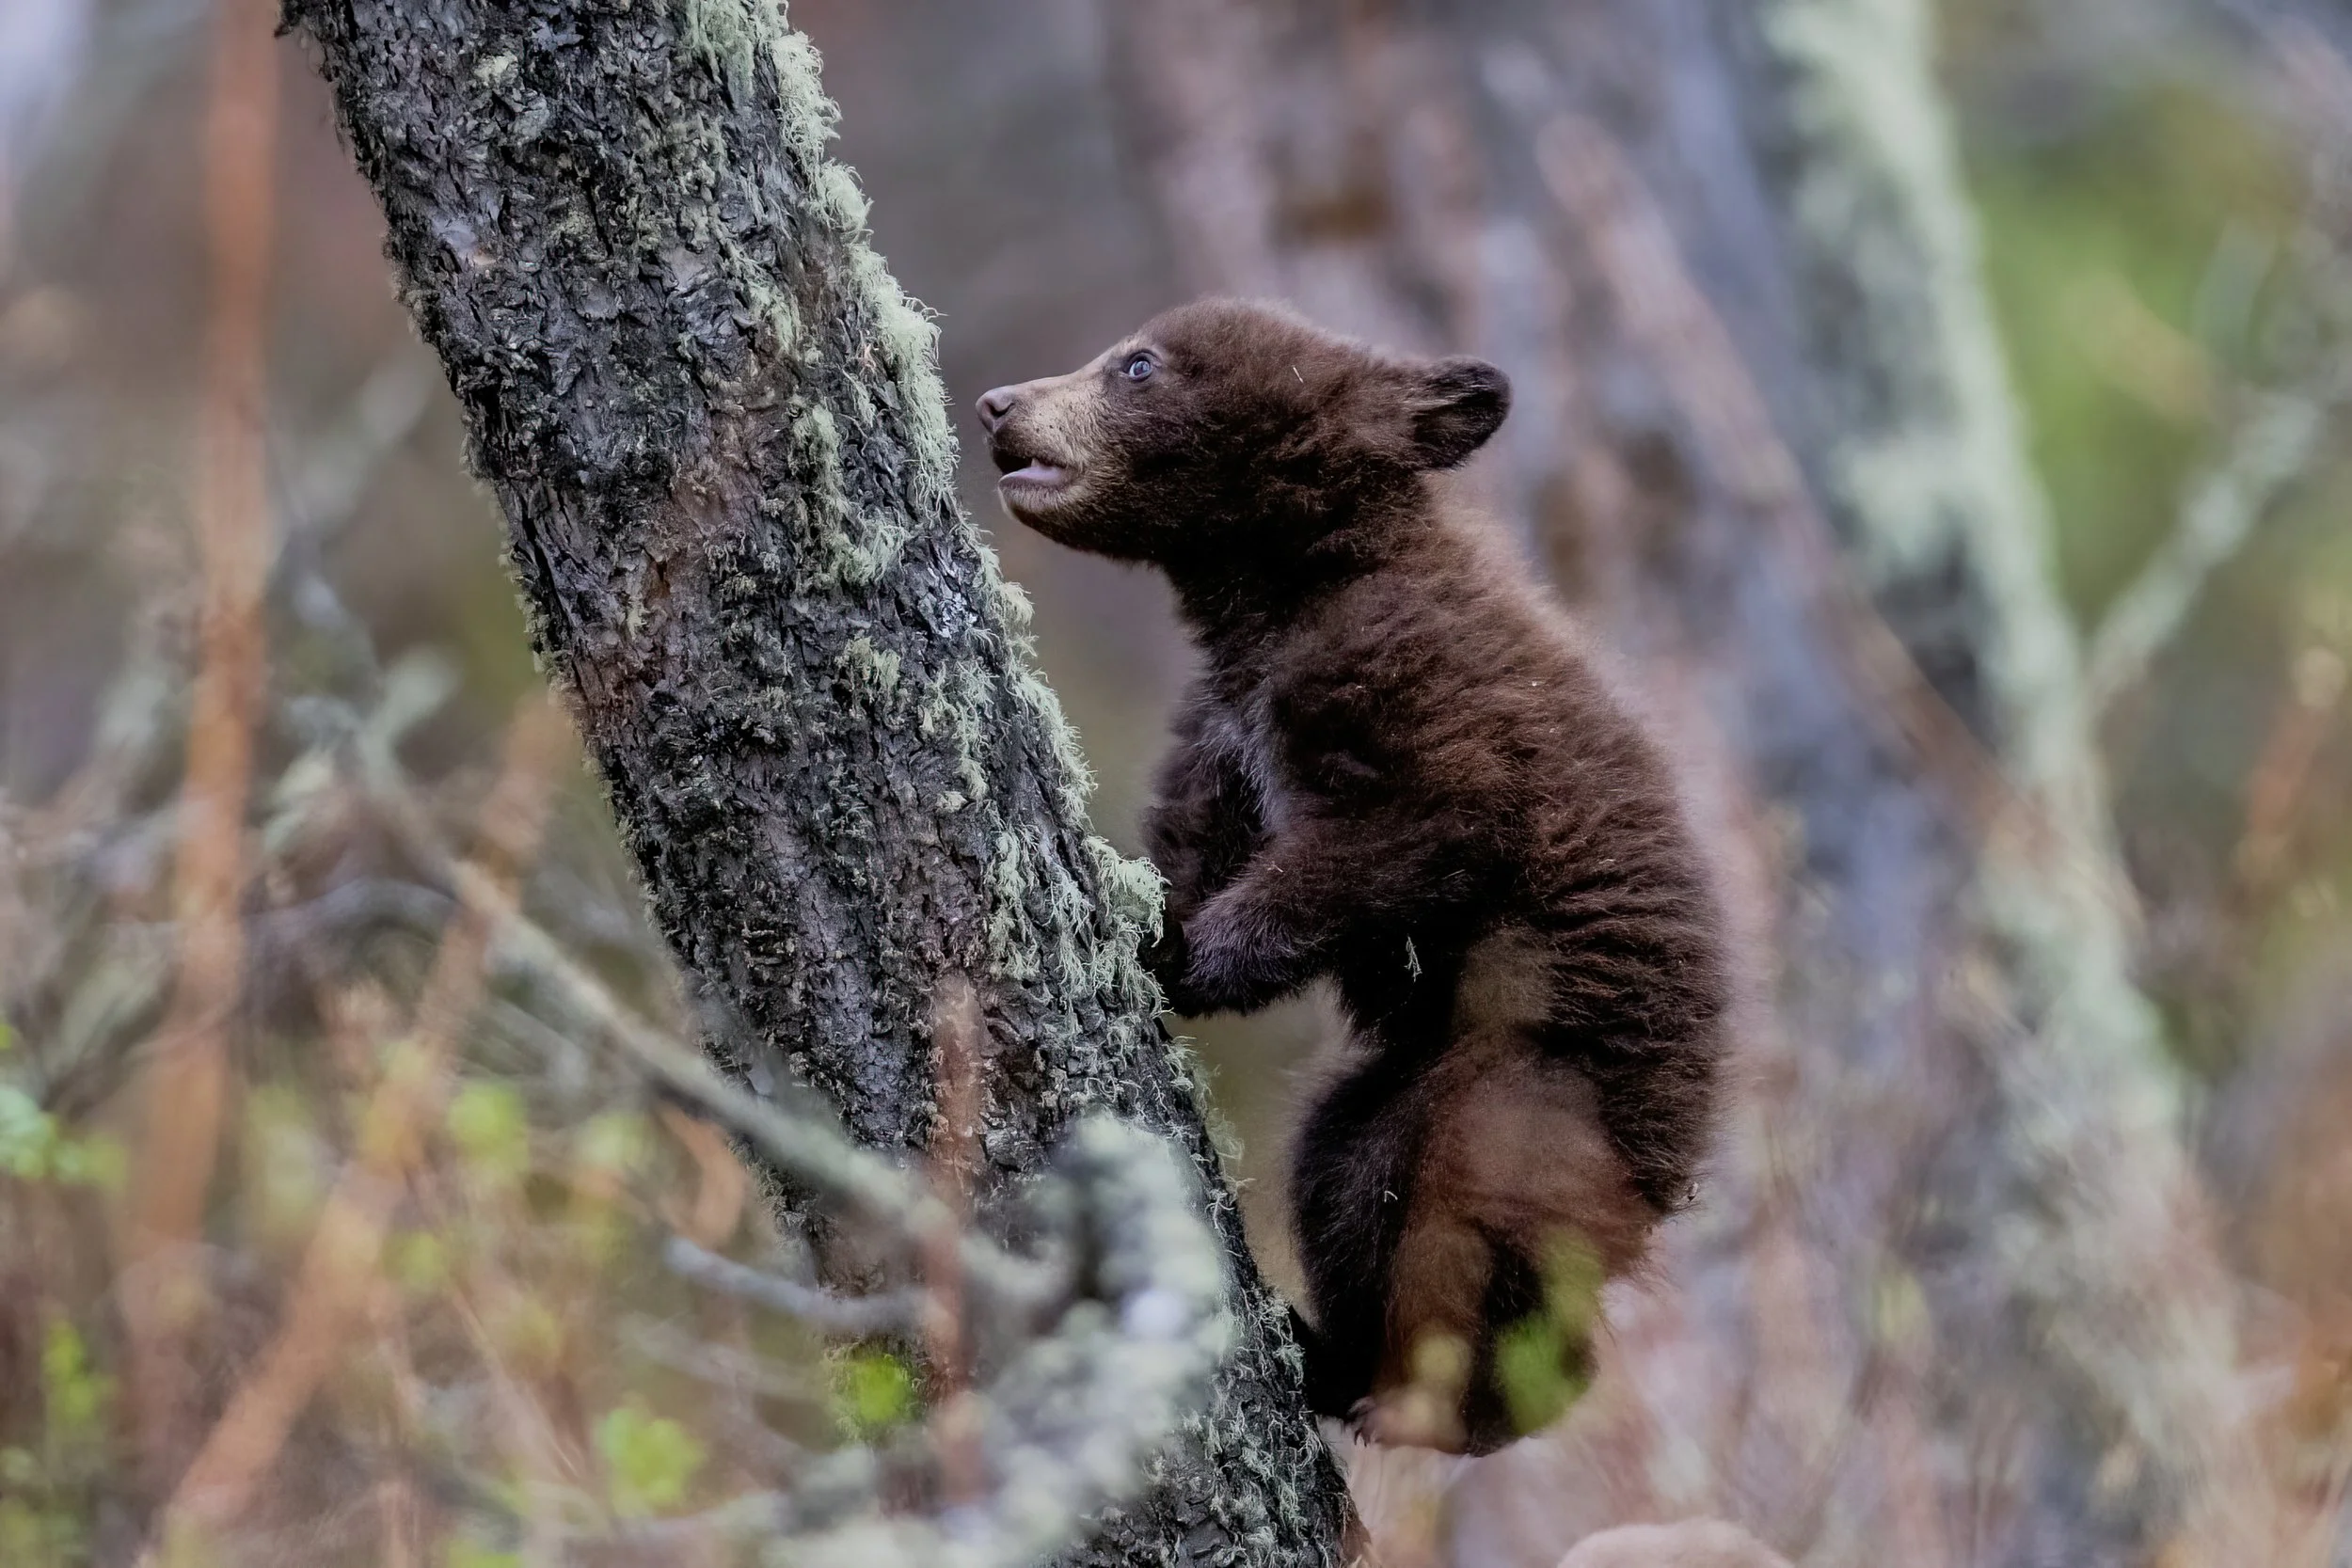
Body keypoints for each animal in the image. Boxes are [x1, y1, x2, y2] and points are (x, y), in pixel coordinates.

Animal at [976, 298, 1731, 1454]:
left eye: (1137, 364)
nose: (997, 404)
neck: (1285, 591)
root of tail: (1674, 1162)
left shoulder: (1413, 691)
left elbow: (1398, 836)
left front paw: (1182, 954)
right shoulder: (1227, 728)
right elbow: (1195, 836)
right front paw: (1149, 903)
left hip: (1542, 1086)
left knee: (1475, 1211)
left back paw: (1452, 1401)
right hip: (1404, 1082)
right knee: (1342, 1168)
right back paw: (1332, 1352)